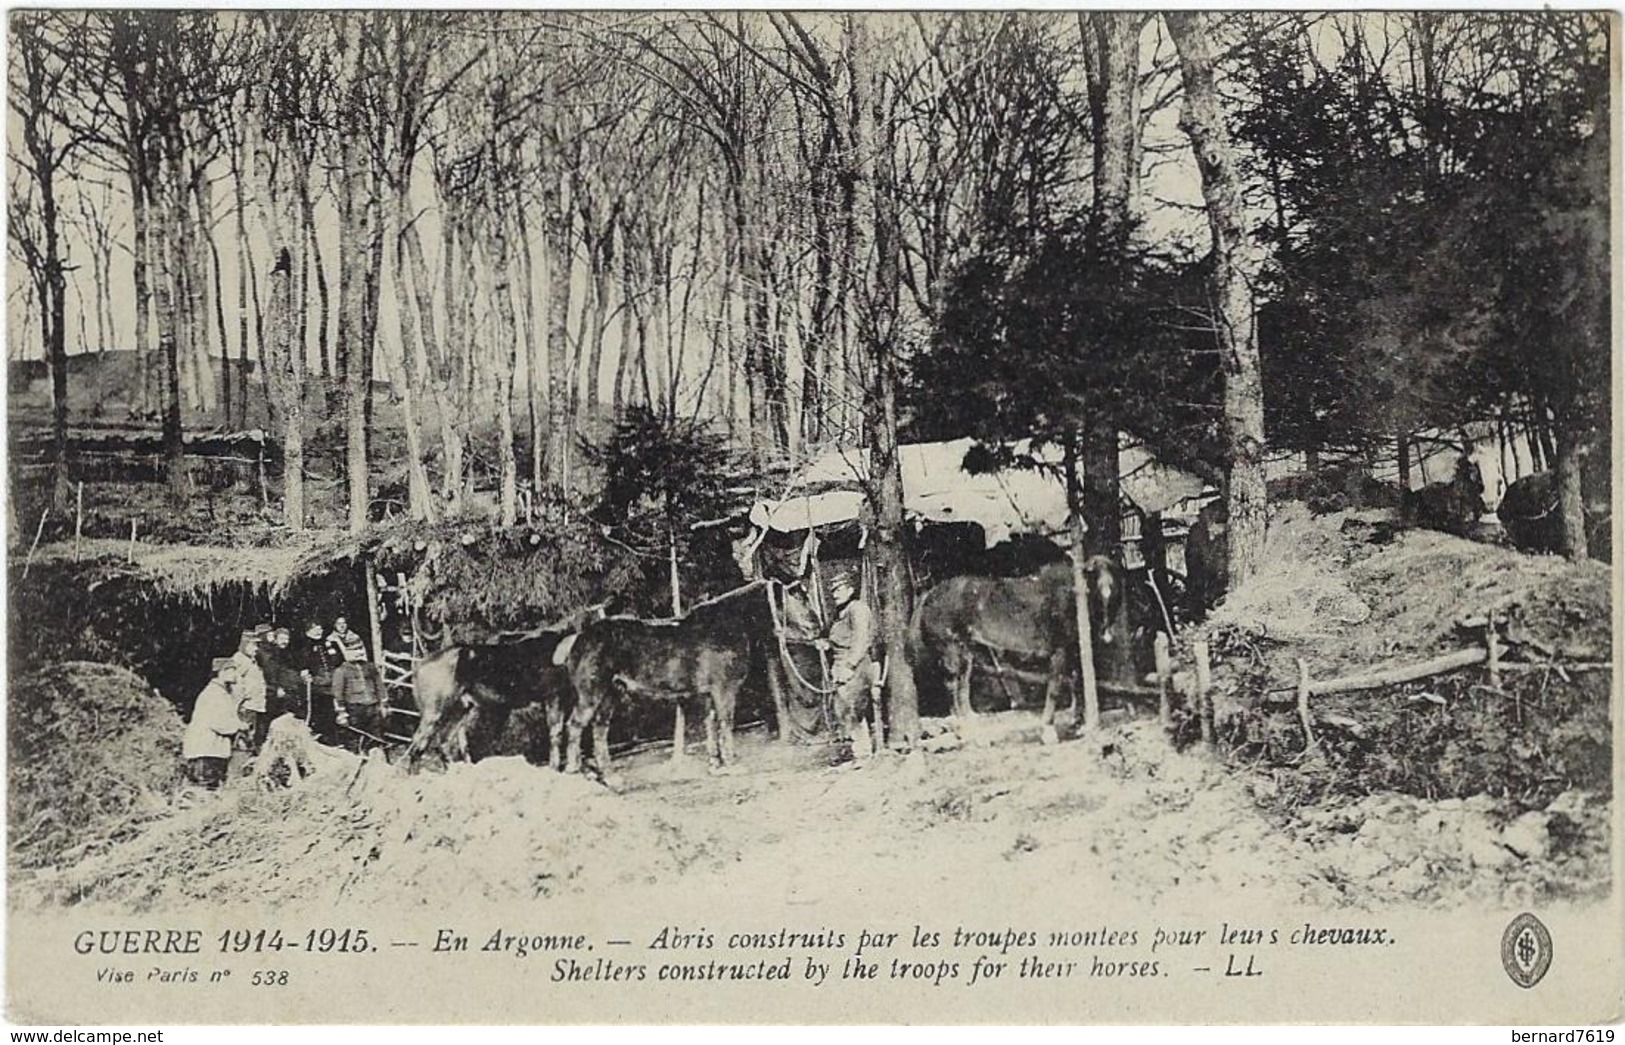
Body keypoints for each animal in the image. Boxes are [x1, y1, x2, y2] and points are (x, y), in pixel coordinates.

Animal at [565, 581, 780, 776]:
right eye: (784, 598)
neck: (727, 625)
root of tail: (580, 639)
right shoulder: (724, 689)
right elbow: (726, 723)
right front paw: (731, 764)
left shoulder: (710, 693)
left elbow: (710, 724)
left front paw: (714, 764)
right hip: (591, 693)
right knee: (575, 725)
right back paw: (573, 769)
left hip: (611, 693)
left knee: (599, 730)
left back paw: (610, 775)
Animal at [916, 559, 1131, 741]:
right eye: (1095, 584)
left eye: (1115, 586)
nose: (1107, 633)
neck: (1073, 595)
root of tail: (928, 596)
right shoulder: (1059, 652)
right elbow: (1054, 689)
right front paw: (1048, 730)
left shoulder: (1075, 652)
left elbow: (1078, 685)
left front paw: (1079, 725)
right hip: (951, 650)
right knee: (952, 685)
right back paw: (964, 730)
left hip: (965, 651)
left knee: (962, 685)